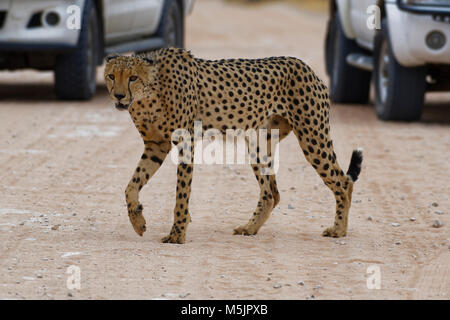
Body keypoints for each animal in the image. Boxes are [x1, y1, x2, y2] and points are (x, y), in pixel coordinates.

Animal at [104, 47, 362, 244]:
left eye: (132, 77)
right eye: (110, 76)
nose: (118, 96)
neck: (149, 93)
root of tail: (305, 67)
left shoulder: (185, 144)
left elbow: (181, 194)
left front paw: (177, 234)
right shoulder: (155, 146)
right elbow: (131, 186)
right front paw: (138, 221)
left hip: (312, 137)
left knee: (342, 182)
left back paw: (339, 229)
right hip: (258, 142)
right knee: (271, 194)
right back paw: (250, 228)